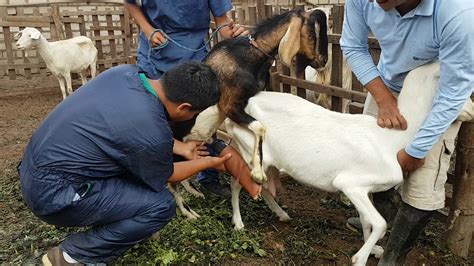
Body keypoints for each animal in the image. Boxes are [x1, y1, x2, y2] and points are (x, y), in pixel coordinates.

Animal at [185, 7, 330, 184]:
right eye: (311, 31)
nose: (323, 60)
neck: (248, 57)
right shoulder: (228, 106)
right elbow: (259, 127)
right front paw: (258, 173)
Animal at [194, 61, 472, 264]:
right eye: (460, 87)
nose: (471, 111)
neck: (390, 139)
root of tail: (233, 106)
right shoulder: (350, 184)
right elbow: (380, 223)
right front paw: (360, 258)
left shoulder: (364, 190)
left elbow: (368, 221)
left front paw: (373, 251)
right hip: (246, 149)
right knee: (238, 183)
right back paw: (239, 224)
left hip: (267, 160)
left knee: (264, 186)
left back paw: (282, 215)